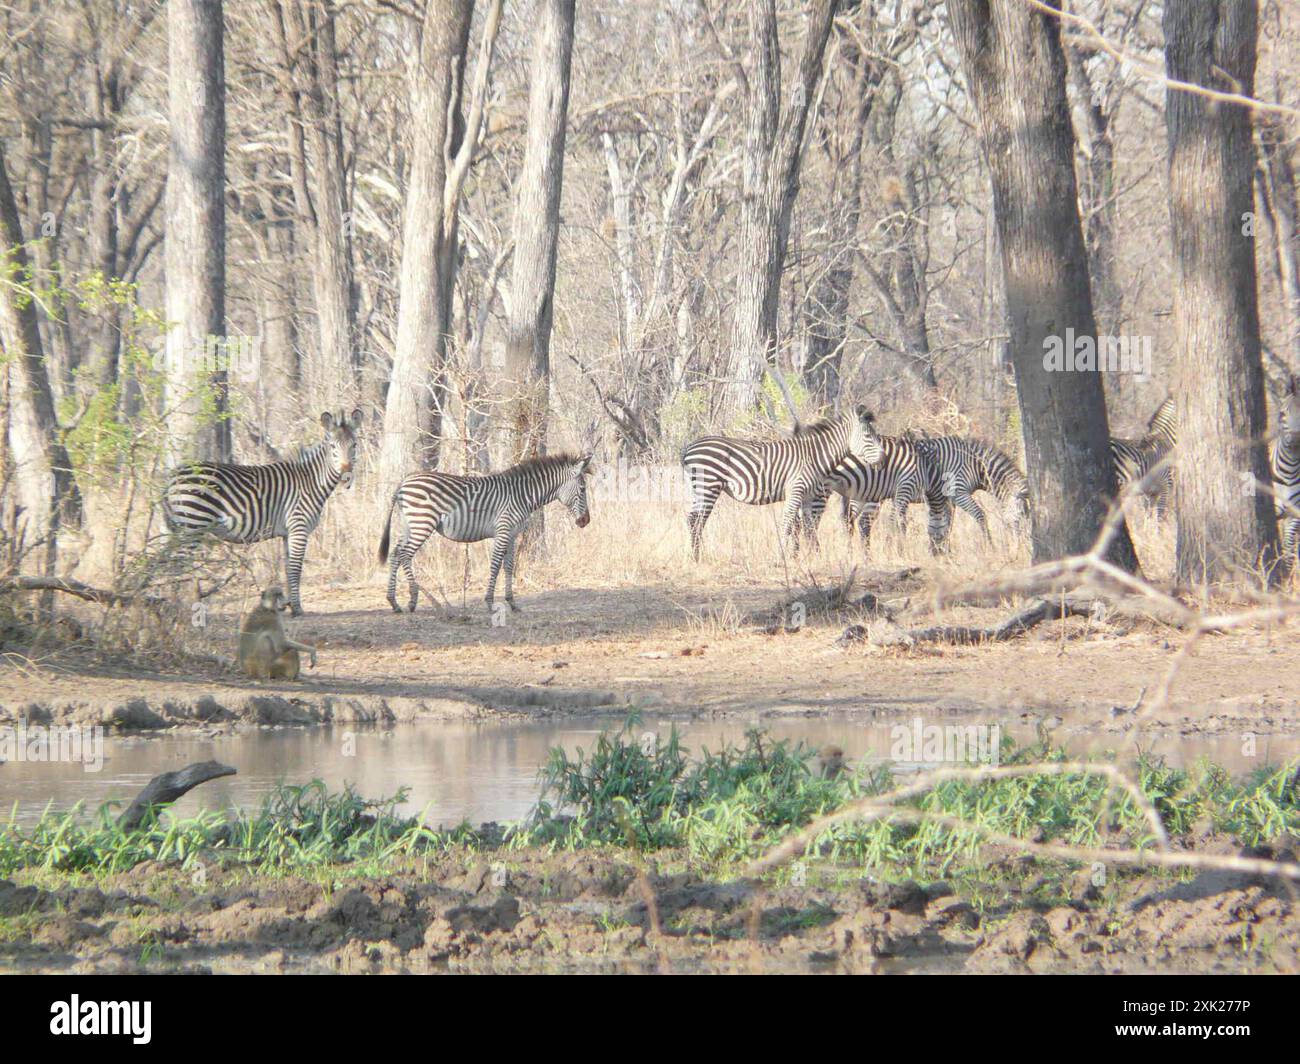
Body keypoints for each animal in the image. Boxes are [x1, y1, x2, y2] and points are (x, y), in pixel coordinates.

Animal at [165, 411, 366, 616]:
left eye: (354, 445)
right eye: (333, 446)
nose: (346, 476)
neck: (312, 482)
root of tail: (173, 477)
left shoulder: (288, 533)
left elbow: (288, 567)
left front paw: (288, 604)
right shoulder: (299, 527)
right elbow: (296, 568)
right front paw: (297, 609)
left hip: (179, 528)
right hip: (192, 525)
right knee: (176, 566)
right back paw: (175, 610)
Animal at [377, 450, 595, 613]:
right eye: (583, 489)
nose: (586, 521)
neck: (522, 495)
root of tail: (404, 482)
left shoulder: (513, 535)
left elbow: (509, 566)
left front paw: (512, 602)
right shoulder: (503, 530)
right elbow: (496, 565)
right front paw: (490, 602)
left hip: (409, 524)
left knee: (396, 553)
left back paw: (394, 602)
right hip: (422, 523)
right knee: (405, 554)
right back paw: (413, 599)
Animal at [681, 403, 883, 559]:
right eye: (868, 437)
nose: (883, 457)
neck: (814, 457)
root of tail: (689, 448)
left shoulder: (808, 496)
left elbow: (808, 527)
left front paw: (812, 558)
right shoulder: (796, 490)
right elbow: (787, 524)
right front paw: (784, 557)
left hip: (699, 488)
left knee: (692, 519)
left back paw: (695, 556)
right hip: (709, 485)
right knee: (697, 520)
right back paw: (697, 557)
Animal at [795, 434, 951, 551]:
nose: (939, 552)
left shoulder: (896, 494)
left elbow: (900, 522)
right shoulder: (905, 488)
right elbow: (896, 522)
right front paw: (894, 550)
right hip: (822, 491)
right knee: (810, 525)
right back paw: (816, 554)